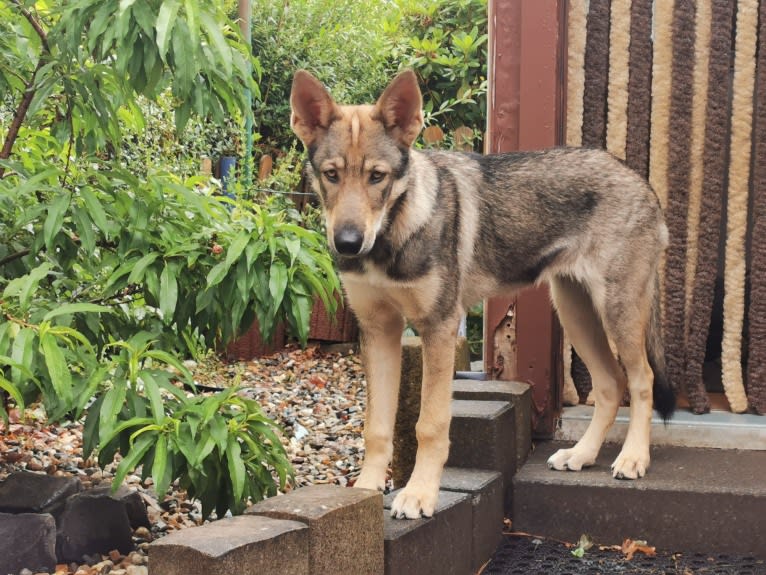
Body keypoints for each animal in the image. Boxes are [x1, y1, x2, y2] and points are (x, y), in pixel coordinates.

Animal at [292, 70, 676, 520]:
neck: (393, 236)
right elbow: (377, 426)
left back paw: (633, 458)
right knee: (612, 384)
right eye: (331, 174)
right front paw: (366, 492)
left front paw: (419, 494)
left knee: (642, 379)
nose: (348, 244)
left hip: (617, 313)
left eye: (377, 176)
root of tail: (641, 182)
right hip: (576, 313)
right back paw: (580, 455)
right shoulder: (378, 331)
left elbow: (430, 424)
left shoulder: (438, 328)